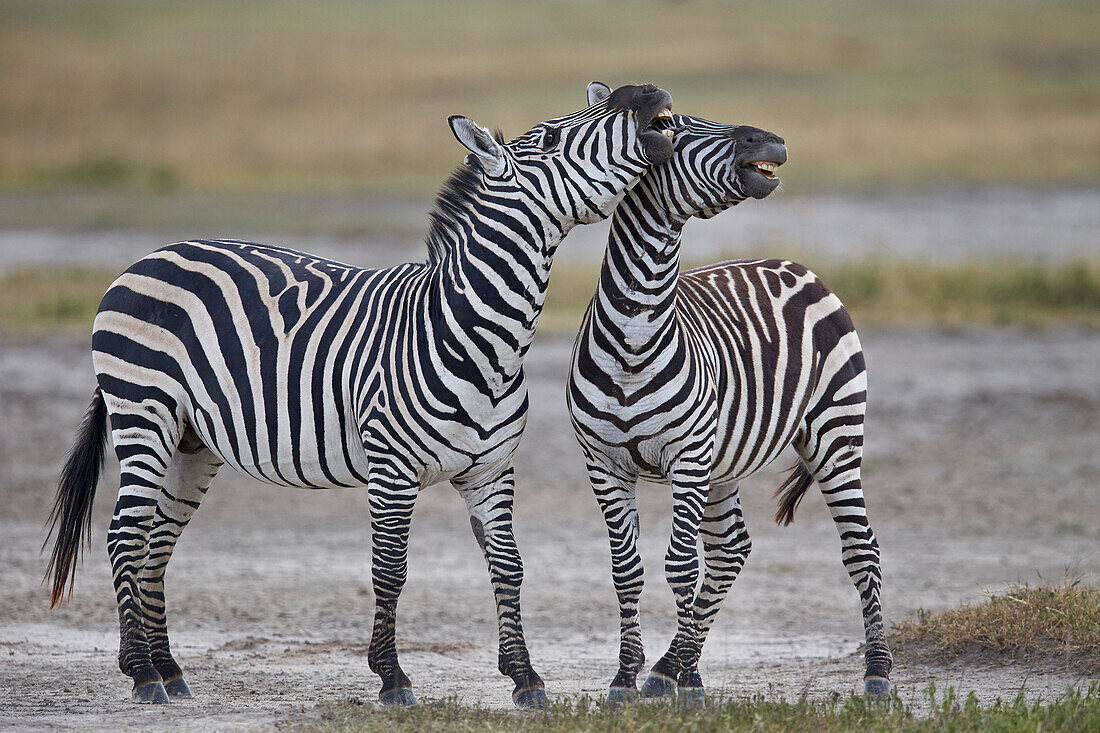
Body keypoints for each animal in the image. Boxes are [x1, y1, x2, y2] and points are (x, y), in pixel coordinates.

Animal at [45, 81, 677, 708]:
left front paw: (525, 676)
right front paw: (392, 677)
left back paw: (170, 670)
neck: (473, 334)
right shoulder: (392, 469)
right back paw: (142, 674)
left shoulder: (491, 469)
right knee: (124, 538)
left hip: (192, 441)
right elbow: (390, 571)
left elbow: (509, 566)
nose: (647, 94)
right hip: (143, 416)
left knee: (156, 546)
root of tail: (147, 259)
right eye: (549, 138)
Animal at [567, 102, 893, 704]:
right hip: (725, 462)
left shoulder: (687, 457)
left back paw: (878, 673)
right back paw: (677, 666)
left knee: (863, 549)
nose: (772, 141)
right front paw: (629, 677)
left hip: (836, 435)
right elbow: (627, 569)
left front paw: (674, 680)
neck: (633, 336)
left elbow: (679, 565)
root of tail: (797, 266)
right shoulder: (603, 463)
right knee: (731, 548)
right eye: (673, 126)